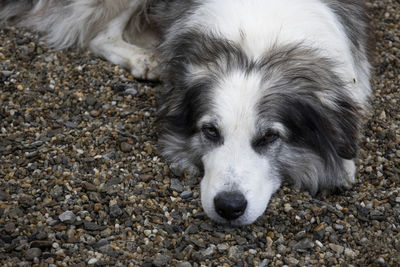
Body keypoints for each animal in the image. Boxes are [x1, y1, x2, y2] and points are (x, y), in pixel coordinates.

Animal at [0, 0, 376, 226]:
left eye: (270, 137)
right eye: (210, 131)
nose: (229, 207)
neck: (256, 48)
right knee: (97, 35)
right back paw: (145, 58)